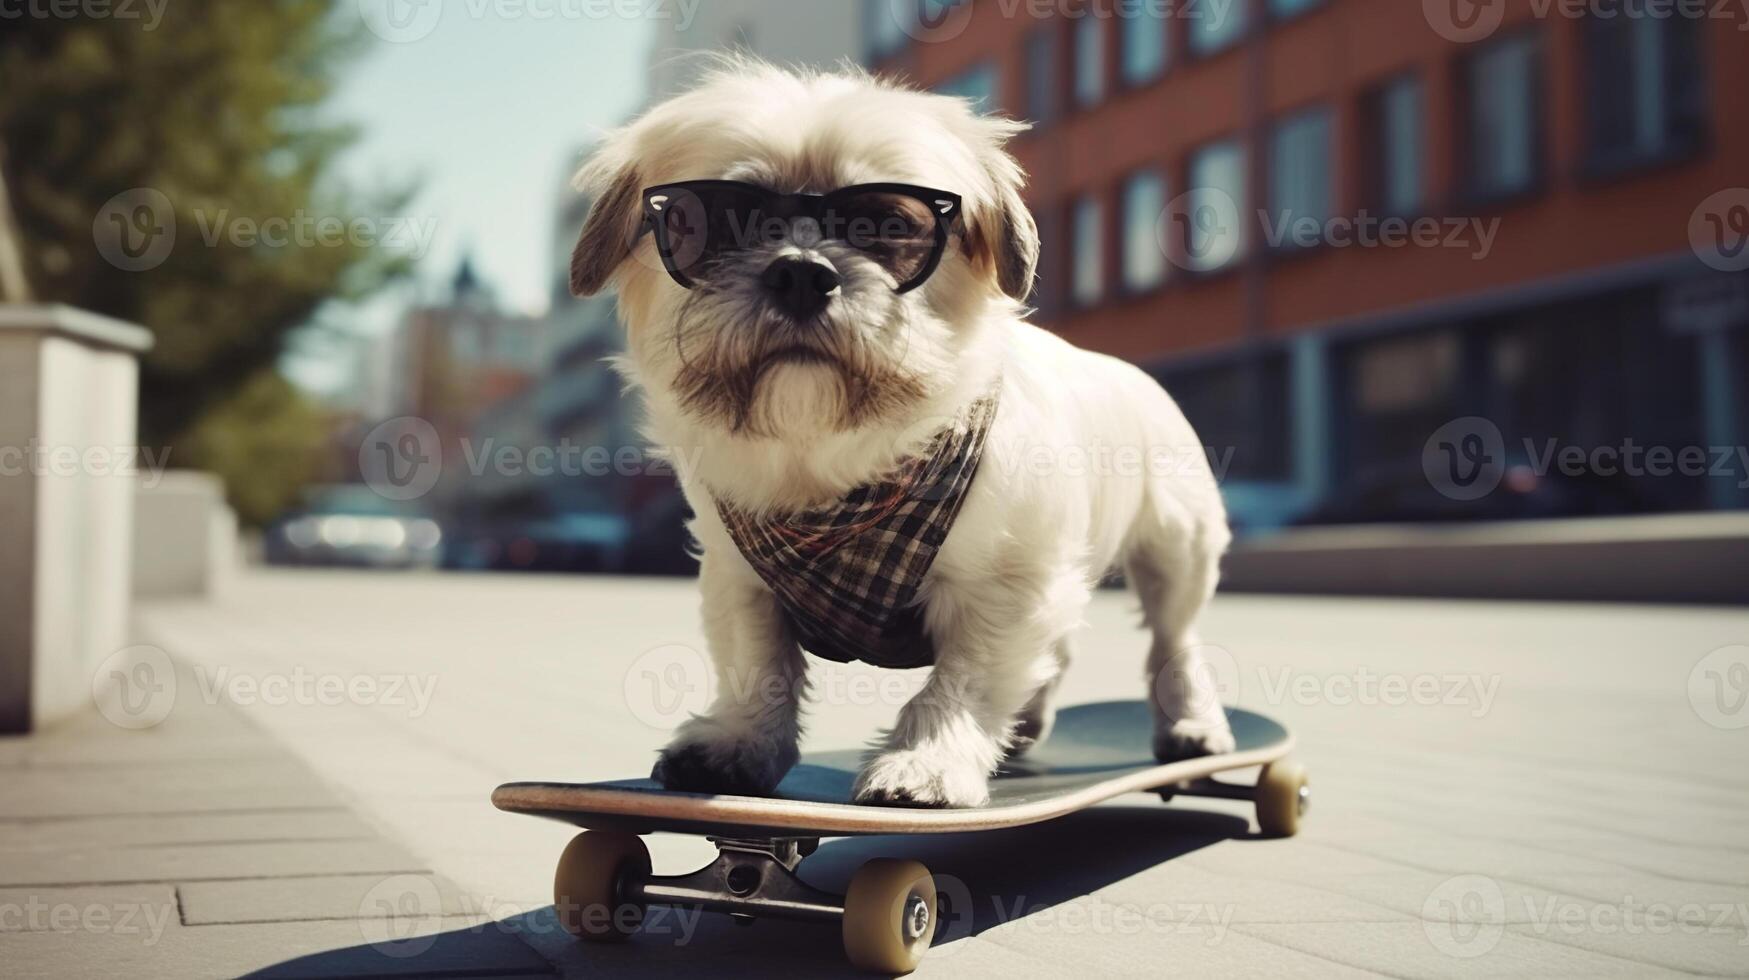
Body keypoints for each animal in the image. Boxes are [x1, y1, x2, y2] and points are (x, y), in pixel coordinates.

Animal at [566, 59, 1238, 805]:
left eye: (889, 225)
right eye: (719, 223)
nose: (802, 272)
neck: (833, 481)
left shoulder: (1007, 589)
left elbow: (961, 687)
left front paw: (927, 761)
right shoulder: (741, 582)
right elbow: (756, 669)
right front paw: (739, 743)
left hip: (1176, 555)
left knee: (1173, 644)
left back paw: (1191, 726)